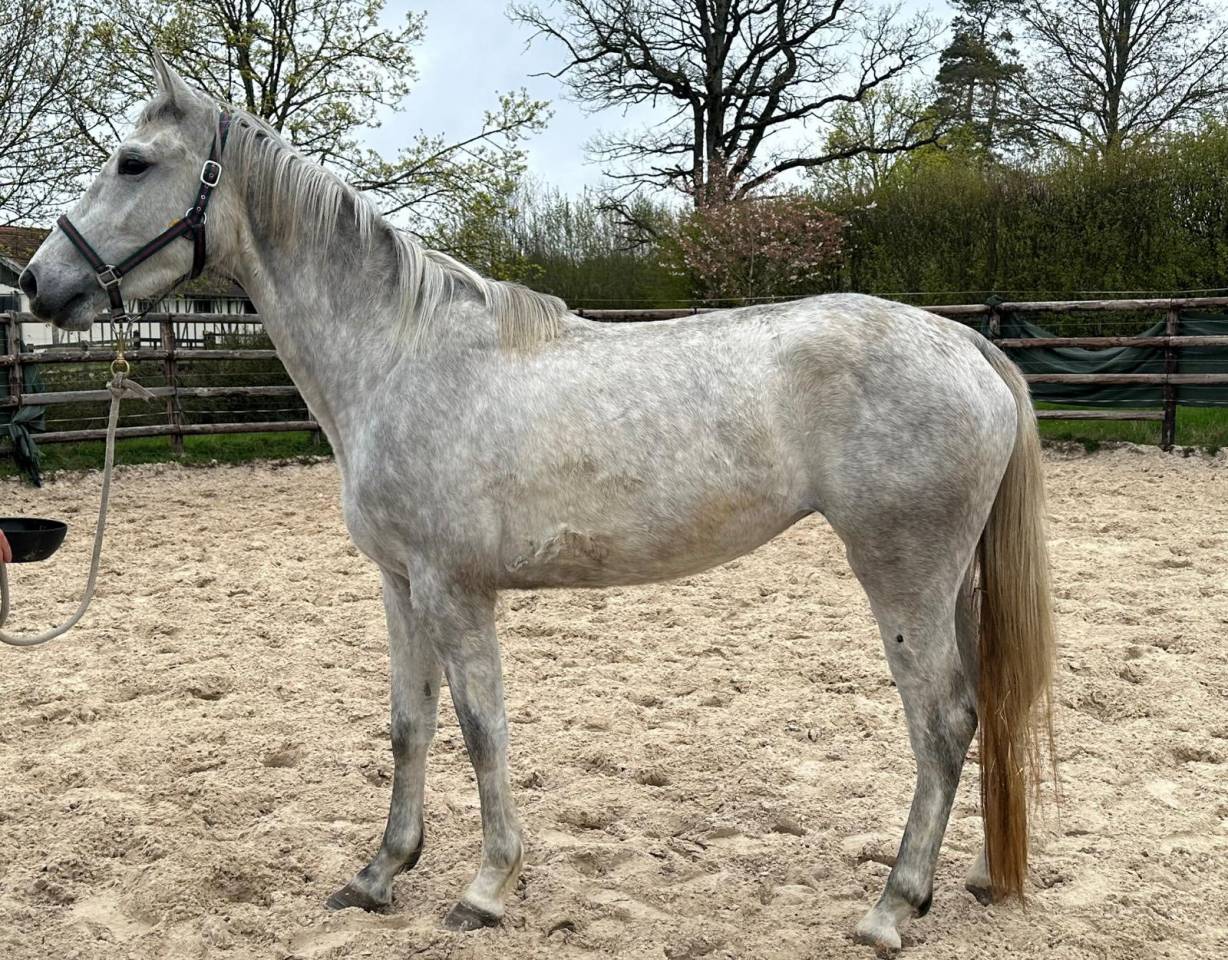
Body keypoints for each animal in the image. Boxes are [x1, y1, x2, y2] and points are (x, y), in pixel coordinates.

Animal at [20, 55, 1056, 951]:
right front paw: (380, 874)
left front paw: (486, 888)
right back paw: (965, 880)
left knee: (943, 723)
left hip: (902, 575)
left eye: (133, 161)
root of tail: (967, 346)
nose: (37, 282)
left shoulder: (454, 588)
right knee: (977, 715)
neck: (399, 355)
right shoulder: (400, 585)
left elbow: (483, 730)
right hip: (951, 584)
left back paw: (891, 906)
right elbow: (408, 727)